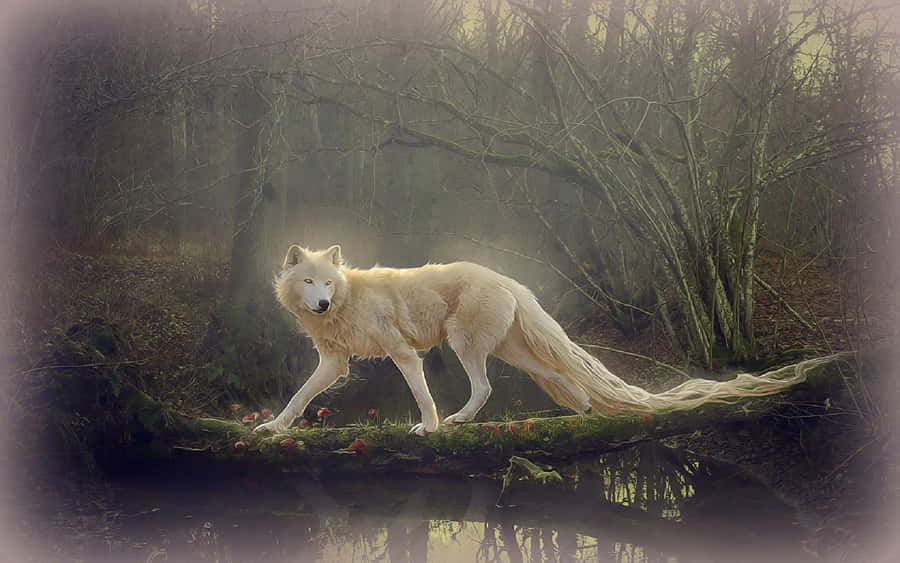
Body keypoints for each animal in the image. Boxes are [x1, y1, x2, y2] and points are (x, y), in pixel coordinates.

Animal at [255, 244, 813, 436]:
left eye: (328, 282)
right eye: (309, 281)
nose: (321, 304)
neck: (348, 300)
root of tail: (507, 278)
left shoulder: (403, 353)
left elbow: (421, 394)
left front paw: (429, 427)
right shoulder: (334, 364)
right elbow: (299, 397)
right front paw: (273, 429)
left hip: (465, 346)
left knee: (484, 389)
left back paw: (458, 421)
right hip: (514, 354)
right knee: (560, 377)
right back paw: (584, 412)